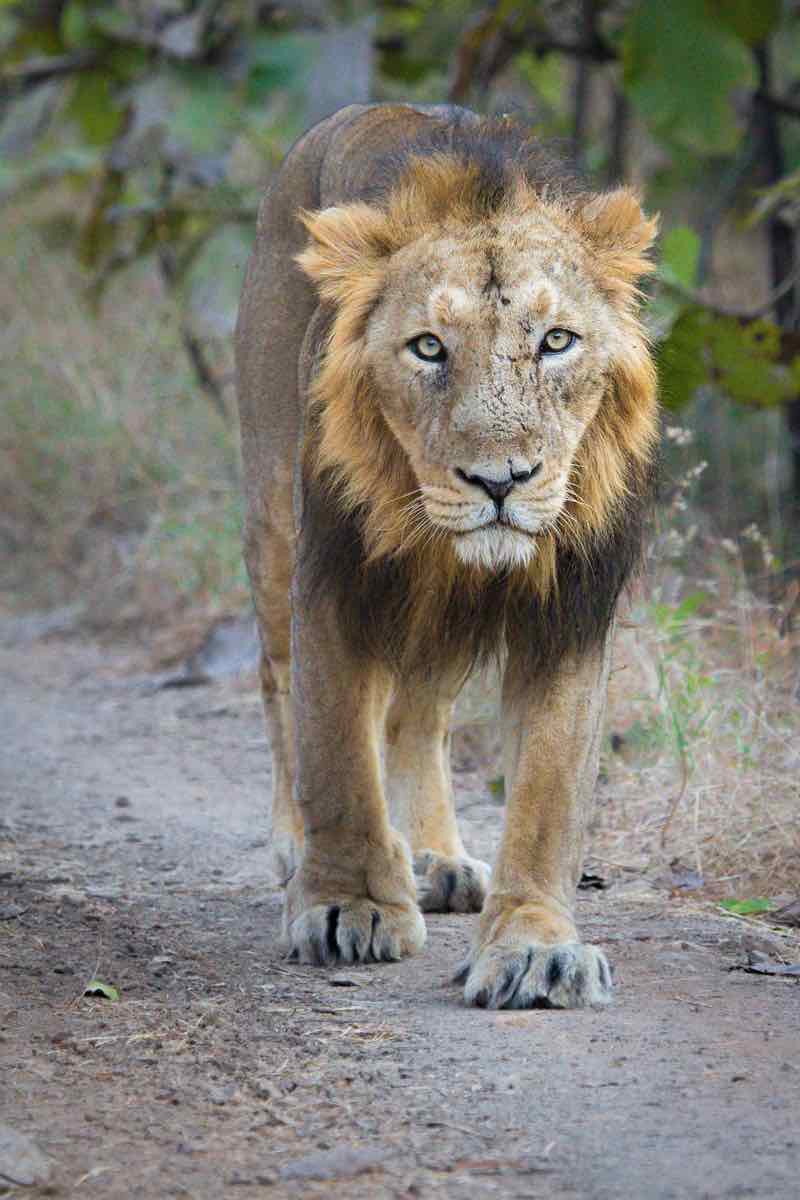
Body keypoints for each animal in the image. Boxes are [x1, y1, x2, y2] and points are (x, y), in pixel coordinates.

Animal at [235, 103, 662, 1008]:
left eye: (556, 341)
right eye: (428, 347)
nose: (501, 480)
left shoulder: (567, 613)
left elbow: (546, 798)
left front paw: (536, 949)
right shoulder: (336, 578)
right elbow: (337, 755)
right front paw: (348, 906)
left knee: (419, 712)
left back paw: (434, 858)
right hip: (272, 521)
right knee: (278, 679)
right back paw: (297, 846)